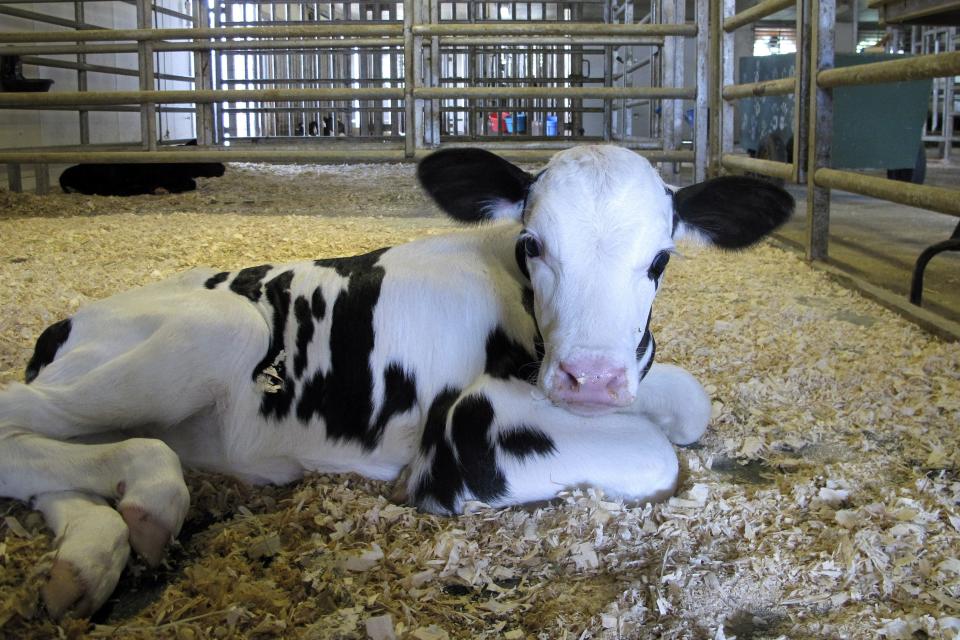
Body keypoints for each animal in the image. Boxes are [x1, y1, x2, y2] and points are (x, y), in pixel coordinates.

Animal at [0, 146, 792, 620]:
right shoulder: (476, 410)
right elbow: (653, 452)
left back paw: (88, 558)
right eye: (533, 244)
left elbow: (690, 402)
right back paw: (148, 496)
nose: (591, 380)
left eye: (660, 258)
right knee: (23, 416)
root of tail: (64, 322)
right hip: (217, 327)